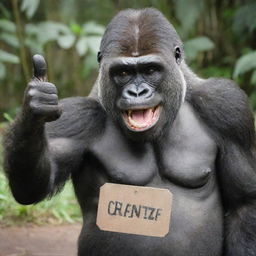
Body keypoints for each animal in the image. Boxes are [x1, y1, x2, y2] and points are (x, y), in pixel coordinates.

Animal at [3, 8, 256, 256]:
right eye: (123, 73)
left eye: (151, 70)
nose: (137, 92)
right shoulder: (76, 118)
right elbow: (32, 187)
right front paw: (34, 109)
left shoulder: (226, 106)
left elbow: (245, 201)